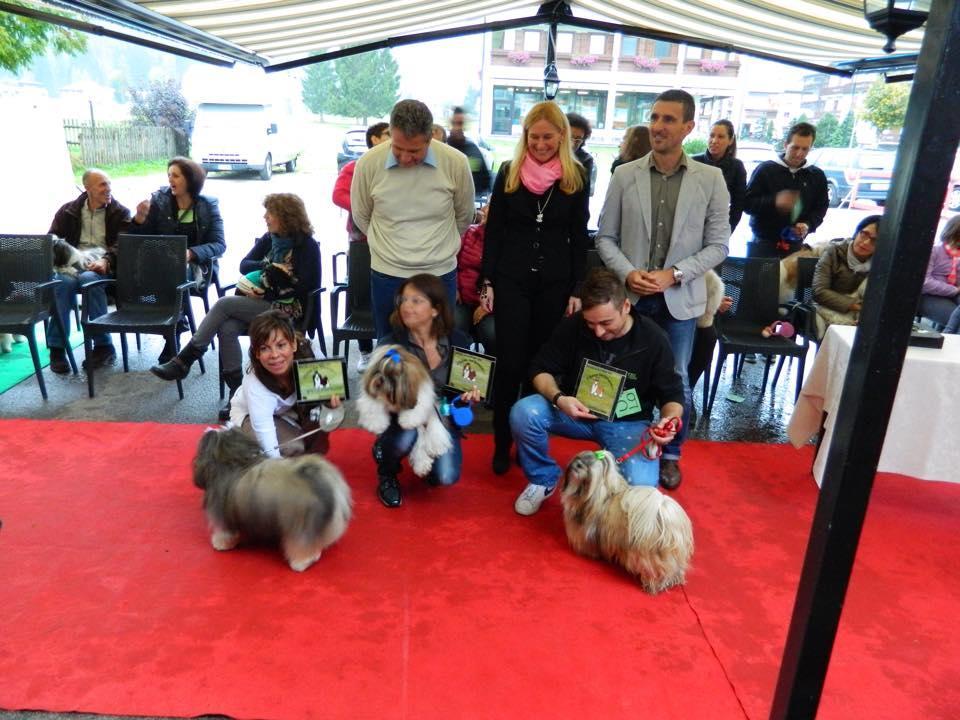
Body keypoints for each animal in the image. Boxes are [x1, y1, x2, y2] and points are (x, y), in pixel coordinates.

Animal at [191, 428, 352, 572]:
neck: (234, 460)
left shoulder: (223, 516)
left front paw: (221, 544)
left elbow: (225, 532)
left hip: (301, 526)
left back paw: (300, 563)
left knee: (302, 544)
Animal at [358, 344, 452, 478]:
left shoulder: (421, 399)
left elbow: (418, 414)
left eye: (392, 376)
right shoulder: (372, 395)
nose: (380, 379)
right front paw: (377, 424)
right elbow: (373, 406)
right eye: (378, 371)